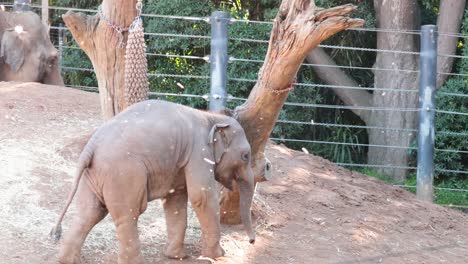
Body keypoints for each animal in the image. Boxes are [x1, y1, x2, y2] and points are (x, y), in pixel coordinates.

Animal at [50, 99, 256, 264]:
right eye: (246, 156)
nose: (252, 241)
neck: (210, 117)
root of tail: (91, 146)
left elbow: (176, 198)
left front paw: (178, 256)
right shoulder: (199, 150)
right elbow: (201, 196)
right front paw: (219, 255)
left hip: (94, 176)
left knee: (89, 213)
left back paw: (67, 260)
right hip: (124, 174)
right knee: (128, 215)